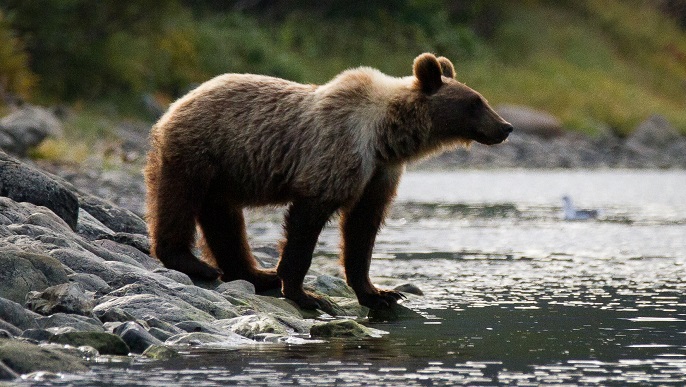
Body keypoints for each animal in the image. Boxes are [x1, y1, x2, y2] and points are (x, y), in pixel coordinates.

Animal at [144, 52, 510, 312]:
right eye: (475, 102)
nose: (505, 126)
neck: (386, 137)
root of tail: (176, 103)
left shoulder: (378, 174)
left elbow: (362, 228)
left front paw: (379, 292)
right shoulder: (336, 155)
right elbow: (307, 222)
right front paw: (306, 294)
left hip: (225, 172)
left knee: (223, 218)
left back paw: (254, 273)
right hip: (201, 150)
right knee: (179, 199)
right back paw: (194, 263)